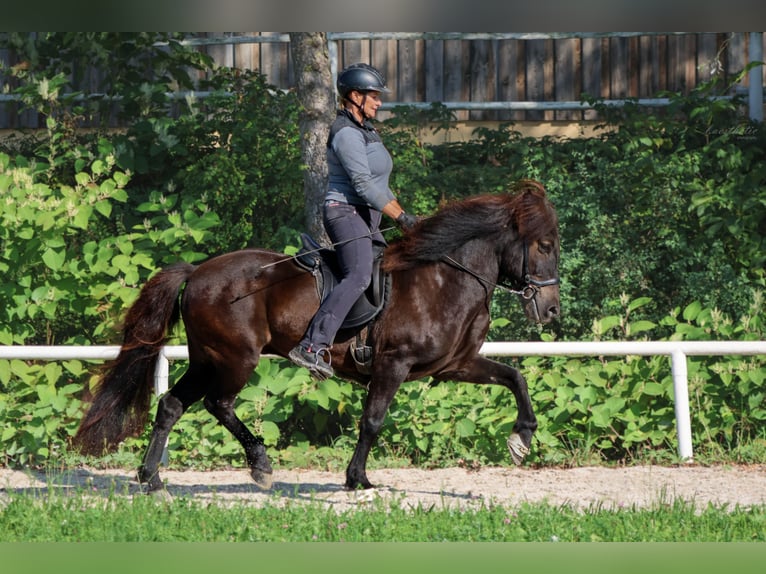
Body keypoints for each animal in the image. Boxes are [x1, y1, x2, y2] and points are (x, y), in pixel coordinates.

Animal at [75, 181, 560, 496]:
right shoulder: (394, 364)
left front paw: (521, 440)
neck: (444, 279)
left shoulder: (456, 366)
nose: (551, 310)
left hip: (206, 358)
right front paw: (357, 479)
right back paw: (260, 466)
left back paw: (152, 480)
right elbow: (372, 421)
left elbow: (514, 377)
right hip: (235, 358)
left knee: (172, 405)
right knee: (218, 403)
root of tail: (197, 272)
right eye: (544, 245)